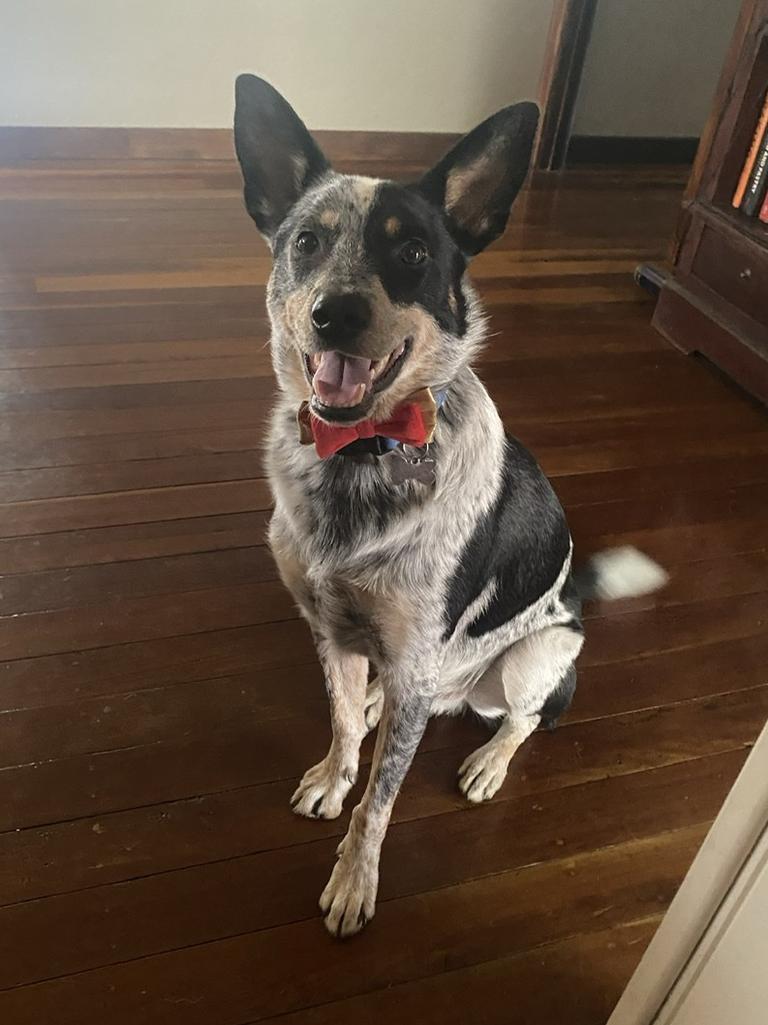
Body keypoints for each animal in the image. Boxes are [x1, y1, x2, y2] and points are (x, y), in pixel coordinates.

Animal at [231, 74, 664, 938]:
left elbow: (381, 799)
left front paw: (354, 880)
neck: (361, 456)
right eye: (308, 242)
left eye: (414, 253)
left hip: (533, 656)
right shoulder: (329, 627)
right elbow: (341, 722)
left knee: (526, 718)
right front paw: (336, 770)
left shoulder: (415, 655)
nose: (337, 311)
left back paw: (488, 760)